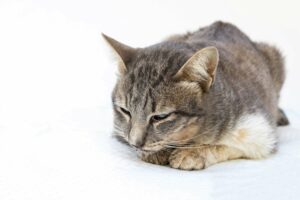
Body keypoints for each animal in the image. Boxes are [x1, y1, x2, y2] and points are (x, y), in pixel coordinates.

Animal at [102, 21, 288, 170]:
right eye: (125, 111)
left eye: (160, 117)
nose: (135, 143)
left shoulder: (260, 132)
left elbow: (225, 145)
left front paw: (192, 153)